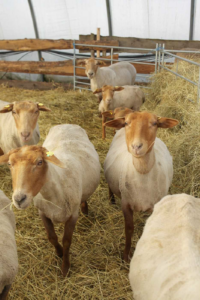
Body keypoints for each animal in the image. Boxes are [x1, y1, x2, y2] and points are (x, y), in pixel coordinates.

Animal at [0, 123, 101, 276]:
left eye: (40, 162)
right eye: (10, 164)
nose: (19, 199)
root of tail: (67, 124)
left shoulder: (73, 215)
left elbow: (67, 241)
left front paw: (65, 268)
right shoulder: (43, 213)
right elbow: (51, 237)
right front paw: (59, 253)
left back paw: (85, 209)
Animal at [103, 111, 178, 262]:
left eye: (154, 123)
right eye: (127, 123)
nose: (136, 147)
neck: (142, 172)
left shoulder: (154, 205)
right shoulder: (126, 203)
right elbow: (129, 229)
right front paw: (126, 256)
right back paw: (111, 201)